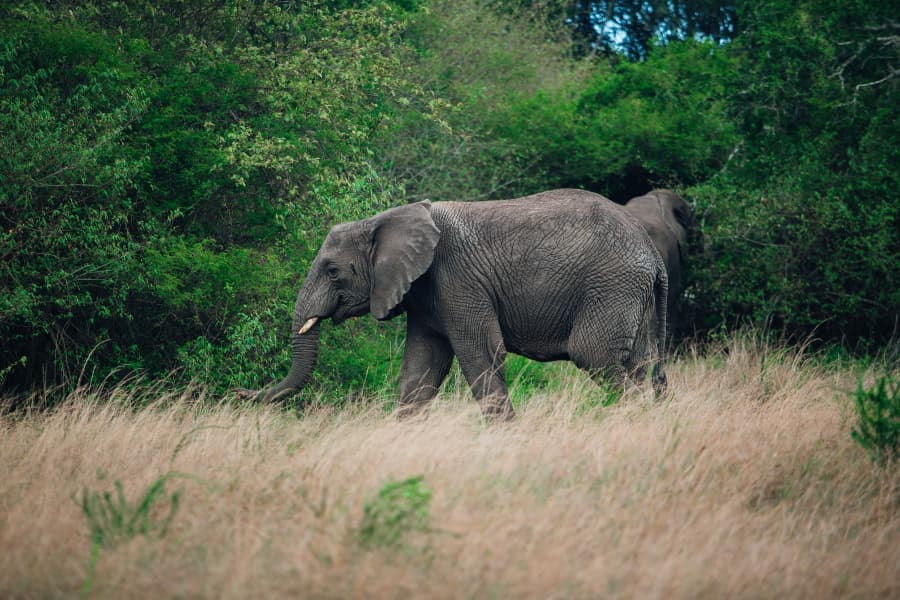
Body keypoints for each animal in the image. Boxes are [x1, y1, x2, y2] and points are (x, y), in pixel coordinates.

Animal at [243, 188, 669, 420]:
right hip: (633, 295)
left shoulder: (456, 280)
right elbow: (421, 367)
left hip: (611, 286)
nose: (241, 396)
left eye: (332, 271)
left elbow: (481, 354)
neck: (386, 219)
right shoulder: (425, 295)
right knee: (640, 363)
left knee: (594, 354)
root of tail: (652, 253)